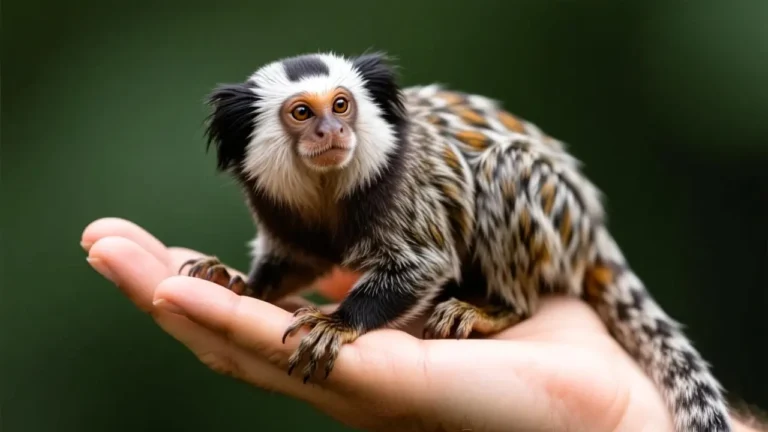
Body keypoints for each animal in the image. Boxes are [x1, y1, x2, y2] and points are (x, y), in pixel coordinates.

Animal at [180, 51, 732, 432]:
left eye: (340, 105)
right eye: (301, 113)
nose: (331, 130)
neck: (328, 191)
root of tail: (591, 226)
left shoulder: (408, 194)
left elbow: (422, 264)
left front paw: (337, 323)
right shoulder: (285, 217)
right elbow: (294, 261)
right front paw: (240, 285)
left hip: (549, 213)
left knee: (509, 170)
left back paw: (494, 309)